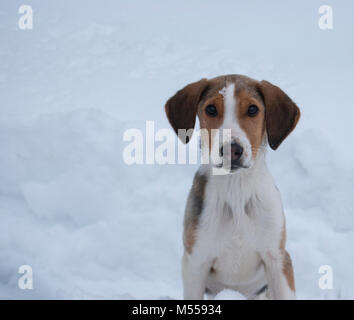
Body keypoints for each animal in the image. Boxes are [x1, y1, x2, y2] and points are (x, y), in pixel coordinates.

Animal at [165, 75, 300, 300]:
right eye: (211, 109)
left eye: (253, 109)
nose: (232, 150)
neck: (236, 188)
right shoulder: (195, 263)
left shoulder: (278, 259)